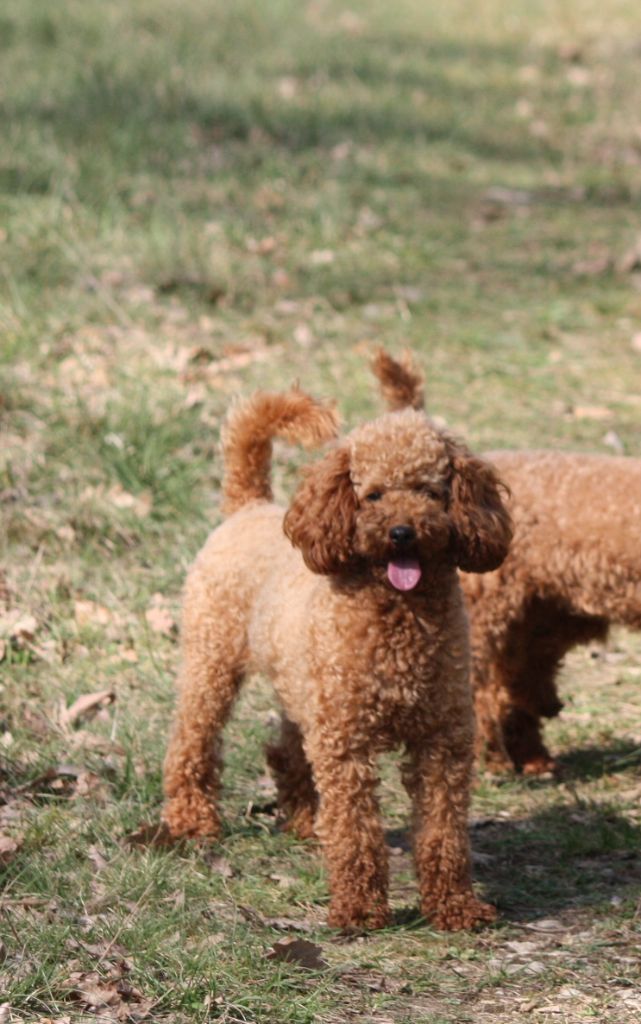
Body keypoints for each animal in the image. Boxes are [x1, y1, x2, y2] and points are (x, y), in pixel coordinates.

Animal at [163, 385, 509, 929]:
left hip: (302, 686)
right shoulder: (347, 744)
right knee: (191, 741)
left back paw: (307, 820)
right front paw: (360, 909)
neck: (399, 615)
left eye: (430, 491)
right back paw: (192, 820)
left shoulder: (442, 741)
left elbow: (445, 833)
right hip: (212, 660)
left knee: (285, 749)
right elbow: (356, 831)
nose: (402, 532)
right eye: (374, 495)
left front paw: (454, 907)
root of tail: (248, 505)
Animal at [372, 352, 638, 774]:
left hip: (540, 617)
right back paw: (494, 760)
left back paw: (532, 758)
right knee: (482, 687)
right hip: (492, 610)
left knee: (514, 683)